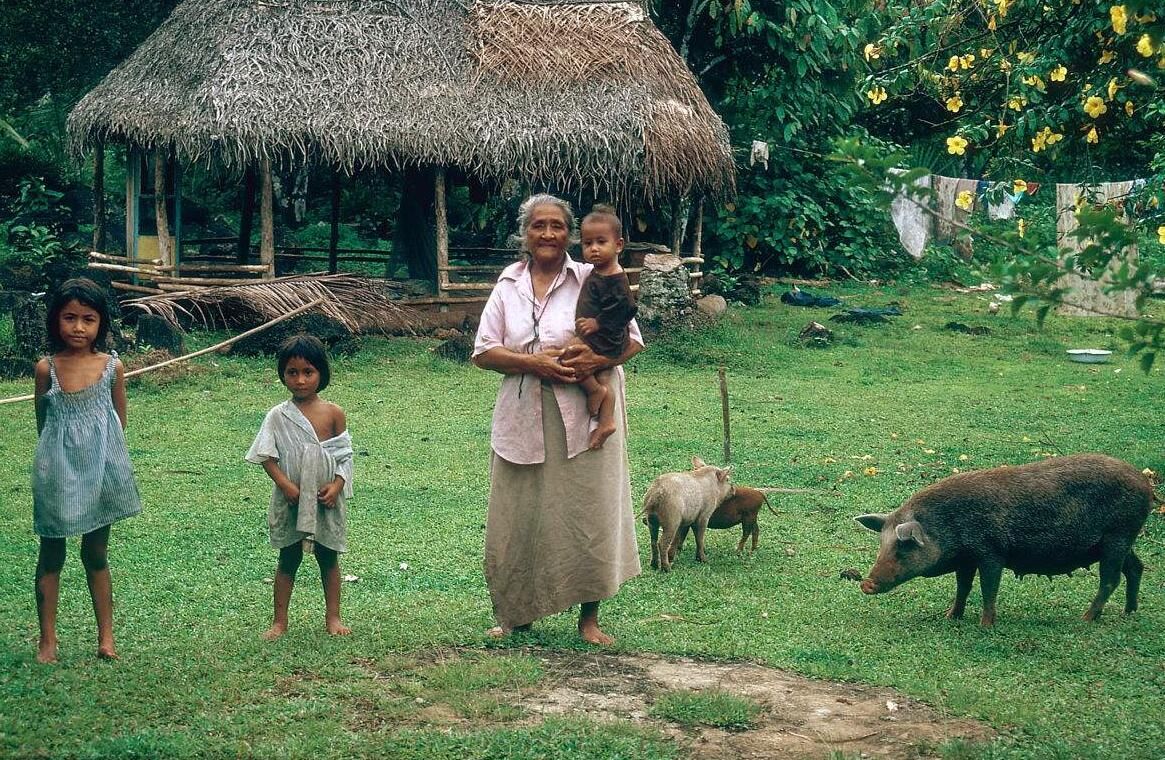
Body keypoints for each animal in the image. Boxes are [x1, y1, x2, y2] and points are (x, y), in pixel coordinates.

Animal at [852, 454, 1151, 624]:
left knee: (1111, 579)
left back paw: (1085, 619)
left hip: (1117, 537)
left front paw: (985, 625)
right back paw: (1129, 612)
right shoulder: (966, 559)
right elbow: (963, 587)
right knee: (1136, 568)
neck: (948, 524)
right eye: (881, 545)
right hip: (1121, 542)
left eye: (904, 546)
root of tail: (1146, 483)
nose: (866, 583)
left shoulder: (991, 552)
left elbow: (989, 588)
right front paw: (951, 617)